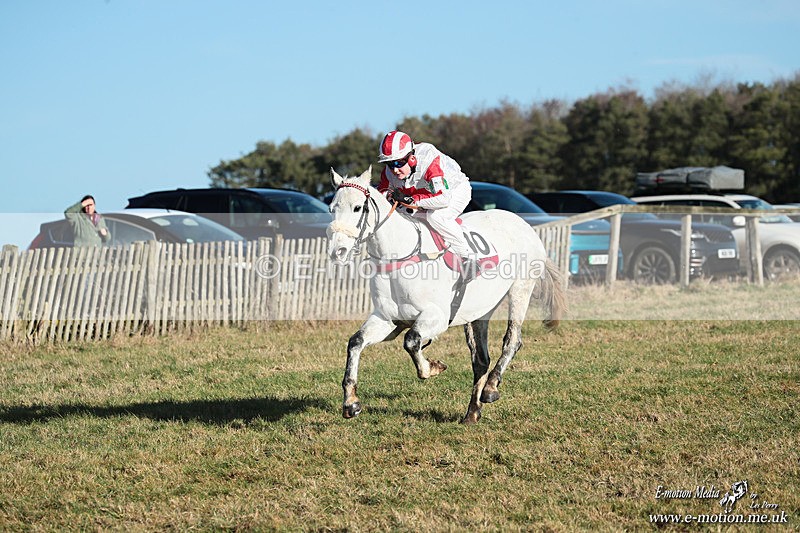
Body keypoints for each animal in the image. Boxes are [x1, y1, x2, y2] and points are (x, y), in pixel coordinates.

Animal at [327, 166, 566, 424]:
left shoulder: (437, 317)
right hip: (480, 310)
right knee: (480, 359)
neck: (401, 254)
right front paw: (351, 402)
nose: (337, 251)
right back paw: (472, 412)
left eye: (357, 207)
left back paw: (491, 388)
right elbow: (356, 342)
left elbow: (411, 341)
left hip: (520, 289)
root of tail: (522, 223)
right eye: (332, 208)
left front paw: (432, 367)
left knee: (512, 341)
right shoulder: (388, 319)